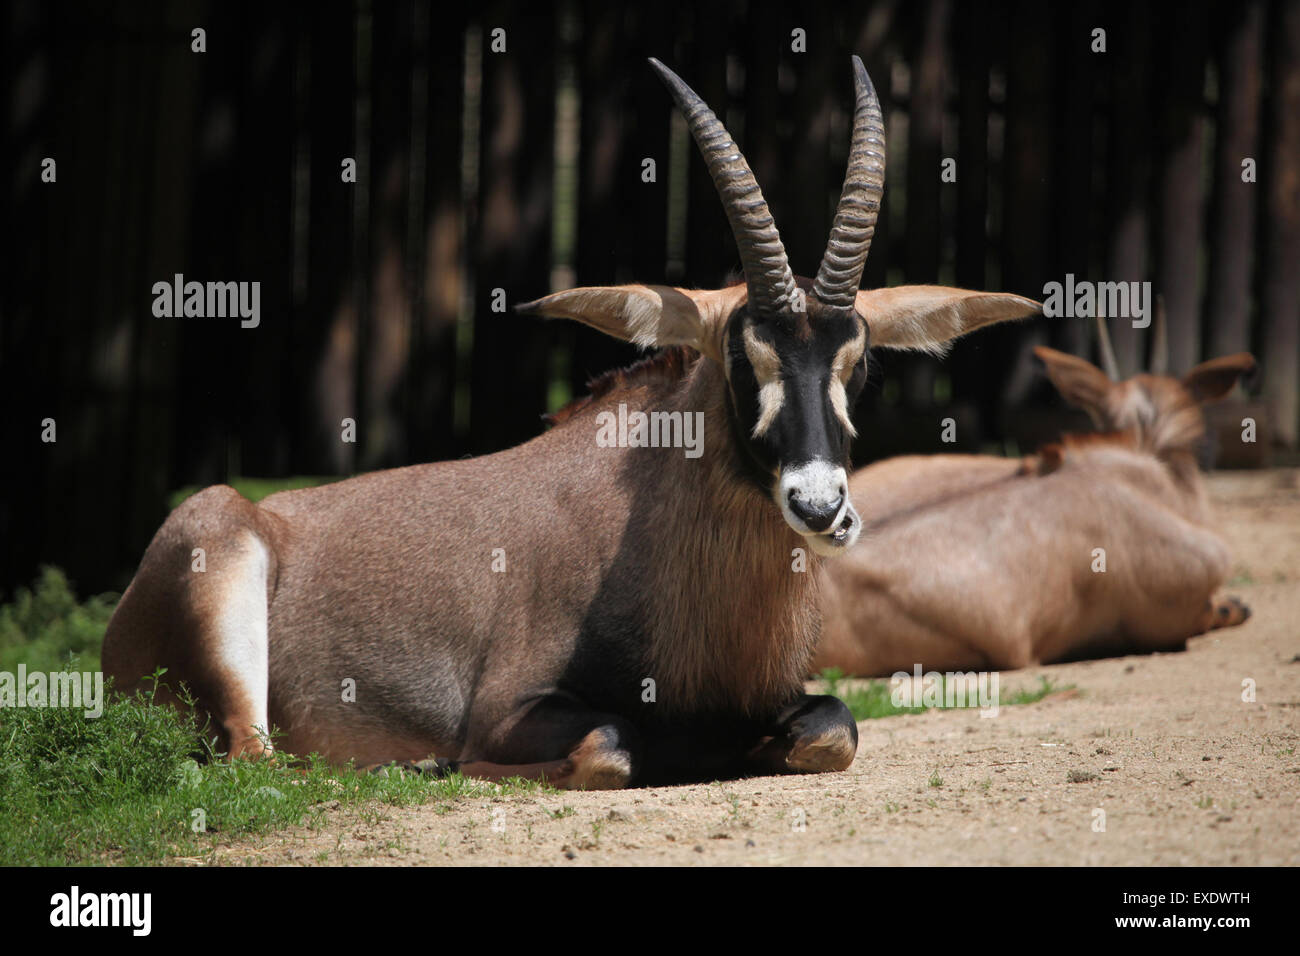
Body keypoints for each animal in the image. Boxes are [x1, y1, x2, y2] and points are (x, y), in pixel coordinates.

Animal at [101, 61, 1040, 790]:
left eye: (858, 363)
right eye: (744, 359)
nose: (820, 507)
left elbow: (834, 730)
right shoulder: (510, 710)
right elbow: (613, 745)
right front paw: (452, 762)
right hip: (223, 572)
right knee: (252, 756)